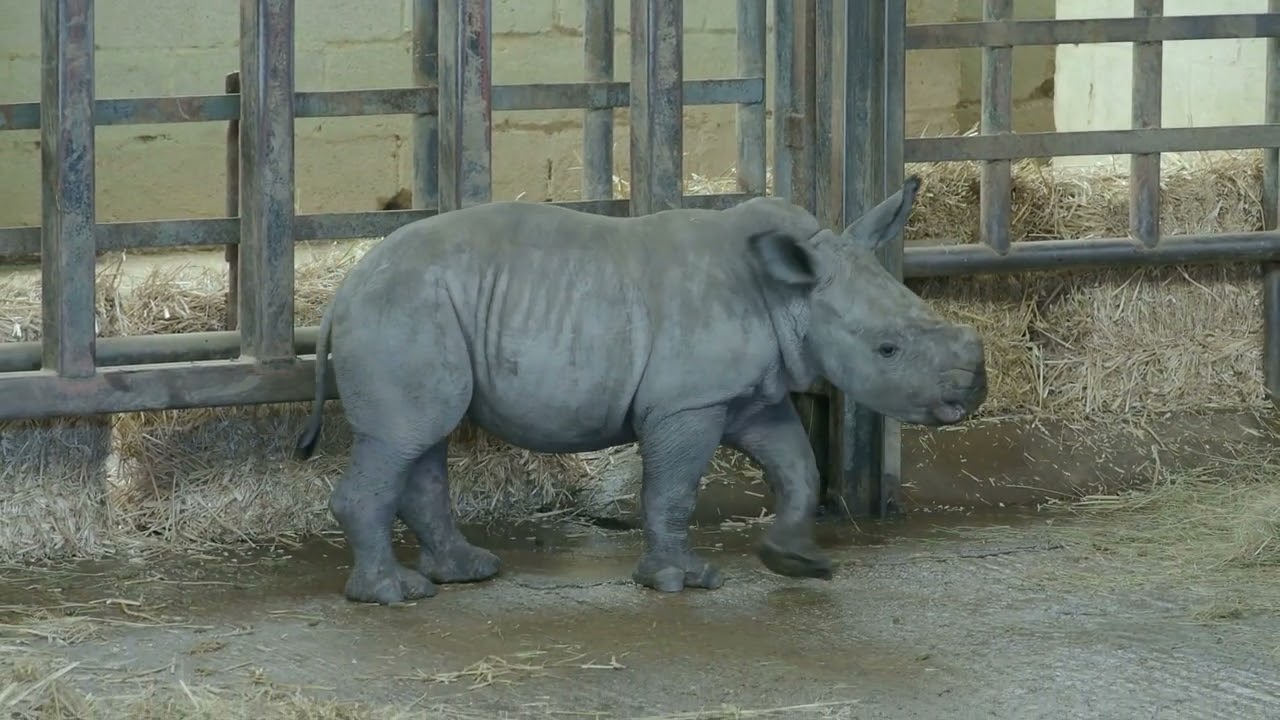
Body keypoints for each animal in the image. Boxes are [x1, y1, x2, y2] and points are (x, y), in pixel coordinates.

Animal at [294, 176, 987, 605]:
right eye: (888, 350)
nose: (975, 390)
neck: (792, 294)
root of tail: (341, 292)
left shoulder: (749, 397)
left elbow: (798, 469)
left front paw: (797, 562)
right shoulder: (689, 401)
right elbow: (675, 489)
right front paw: (683, 581)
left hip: (419, 309)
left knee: (422, 438)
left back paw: (466, 573)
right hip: (401, 310)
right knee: (403, 437)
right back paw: (395, 596)